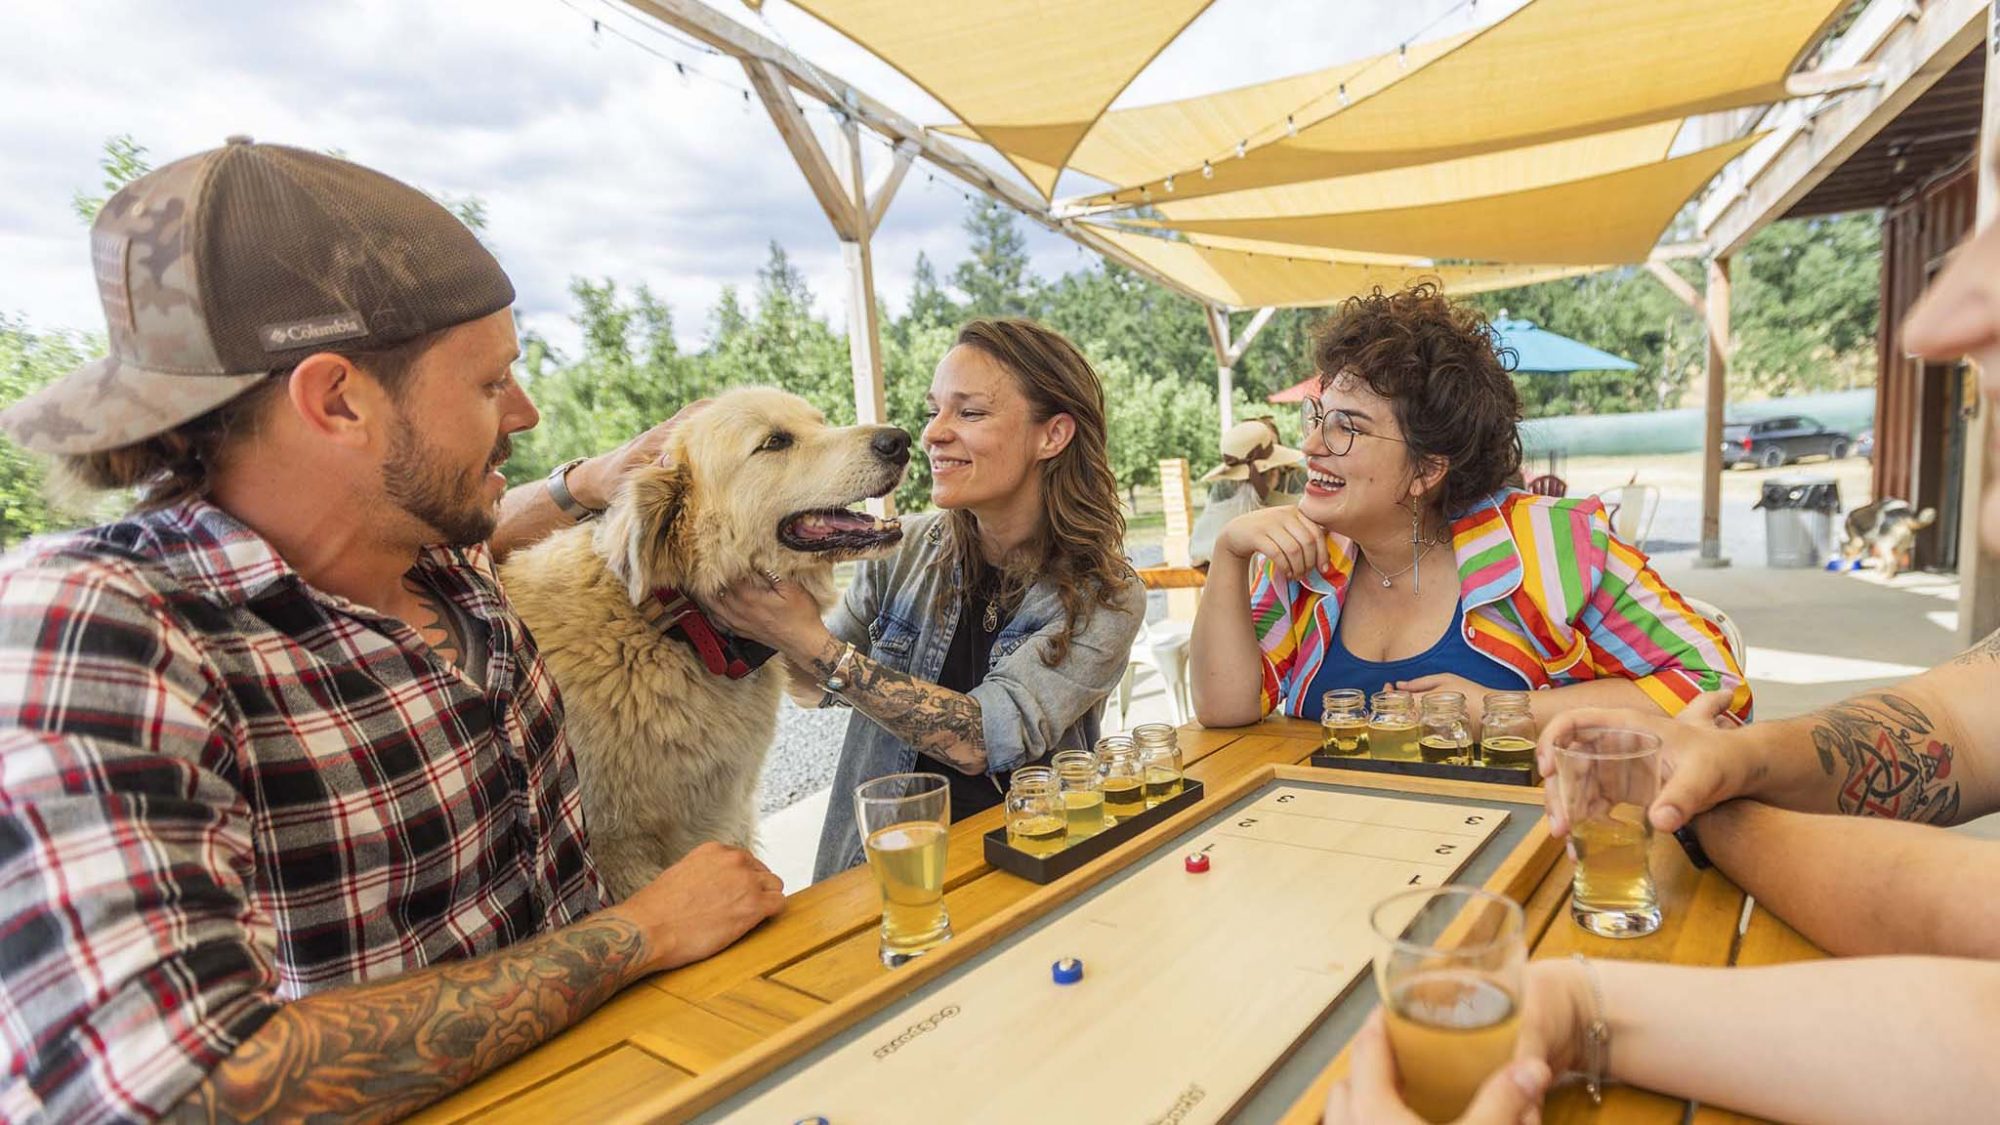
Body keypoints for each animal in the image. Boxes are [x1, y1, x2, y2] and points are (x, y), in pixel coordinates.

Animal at [504, 390, 912, 896]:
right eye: (775, 442)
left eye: (819, 421)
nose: (900, 440)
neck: (676, 626)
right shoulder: (618, 851)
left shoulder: (724, 814)